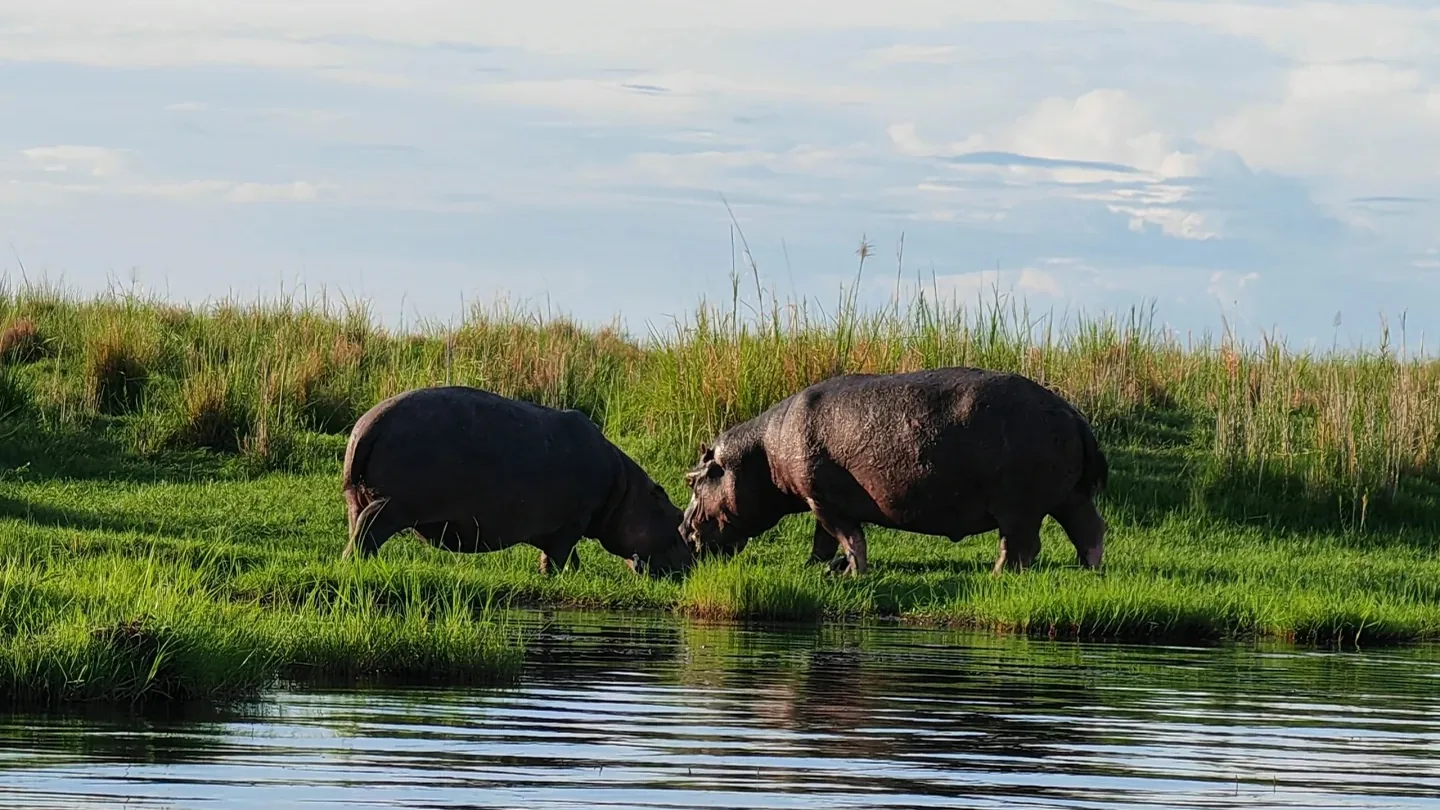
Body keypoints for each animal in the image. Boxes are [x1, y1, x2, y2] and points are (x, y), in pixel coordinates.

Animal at [341, 385, 694, 577]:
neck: (623, 492)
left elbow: (564, 555)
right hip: (395, 505)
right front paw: (559, 576)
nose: (692, 565)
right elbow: (562, 554)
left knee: (357, 525)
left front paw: (566, 575)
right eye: (677, 516)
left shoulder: (564, 527)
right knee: (370, 526)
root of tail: (369, 423)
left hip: (357, 497)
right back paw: (356, 562)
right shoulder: (571, 524)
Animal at [680, 366, 1109, 576]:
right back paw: (1088, 571)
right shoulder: (819, 501)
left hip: (1019, 507)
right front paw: (816, 568)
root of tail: (1072, 412)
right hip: (1069, 498)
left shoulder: (824, 501)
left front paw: (851, 574)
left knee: (1022, 546)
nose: (682, 529)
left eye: (693, 479)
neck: (761, 453)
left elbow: (850, 538)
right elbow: (824, 541)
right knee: (1090, 529)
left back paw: (997, 576)